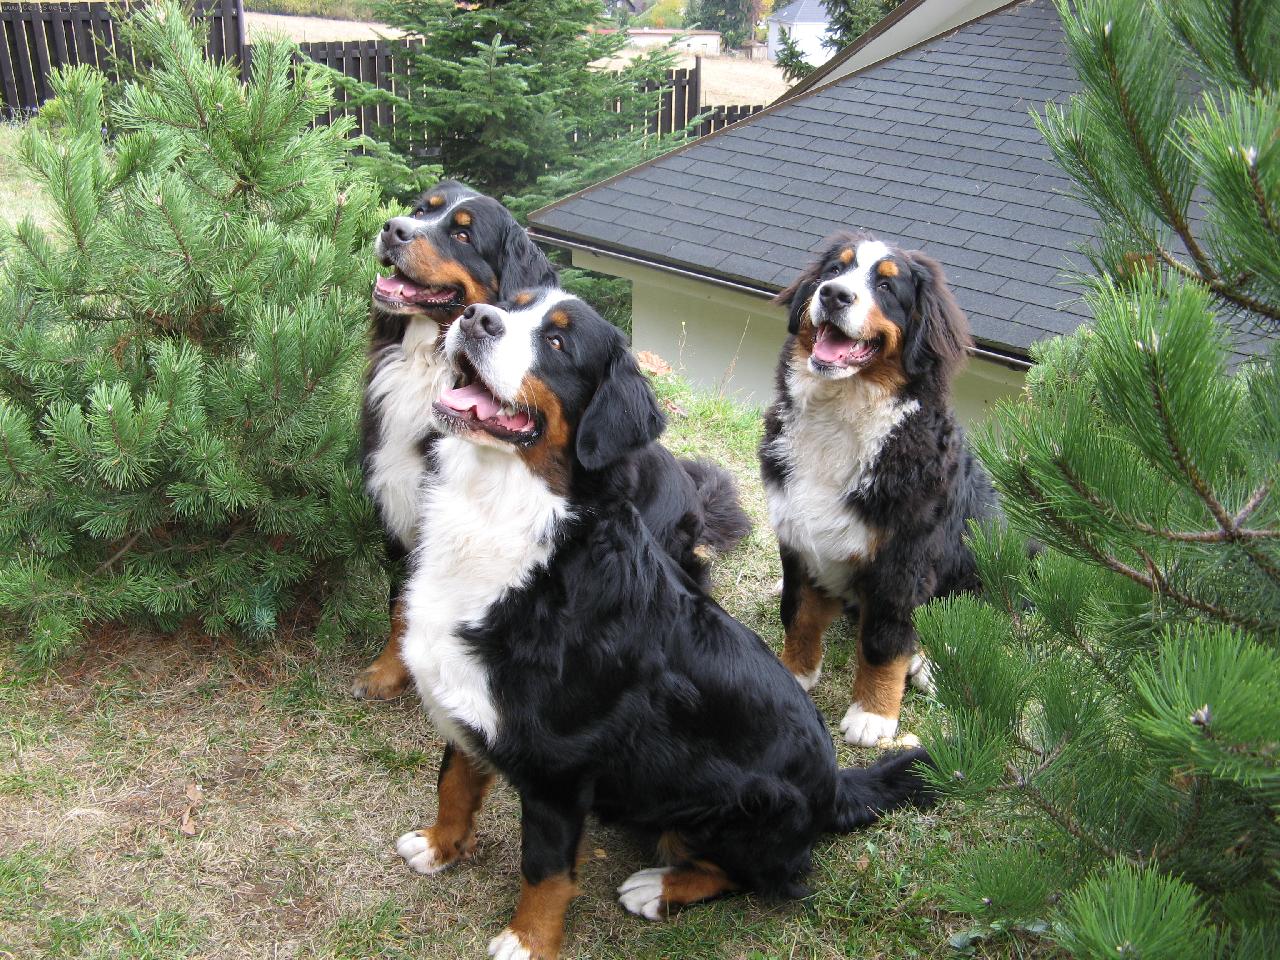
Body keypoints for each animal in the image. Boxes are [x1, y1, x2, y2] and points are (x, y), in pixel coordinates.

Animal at [356, 181, 750, 701]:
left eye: (463, 236)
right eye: (422, 211)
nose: (393, 228)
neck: (425, 366)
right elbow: (401, 599)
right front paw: (387, 670)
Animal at [392, 289, 933, 960]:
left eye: (557, 342)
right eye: (508, 305)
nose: (476, 319)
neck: (506, 522)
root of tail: (832, 787)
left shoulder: (558, 768)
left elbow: (545, 869)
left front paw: (528, 941)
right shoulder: (469, 698)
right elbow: (456, 782)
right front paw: (441, 843)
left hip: (739, 801)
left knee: (763, 876)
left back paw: (658, 886)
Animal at [760, 232, 999, 747]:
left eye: (887, 287)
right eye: (835, 269)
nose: (833, 295)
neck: (839, 420)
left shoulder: (902, 560)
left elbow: (885, 642)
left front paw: (873, 714)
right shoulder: (798, 536)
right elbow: (799, 613)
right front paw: (793, 673)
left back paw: (929, 666)